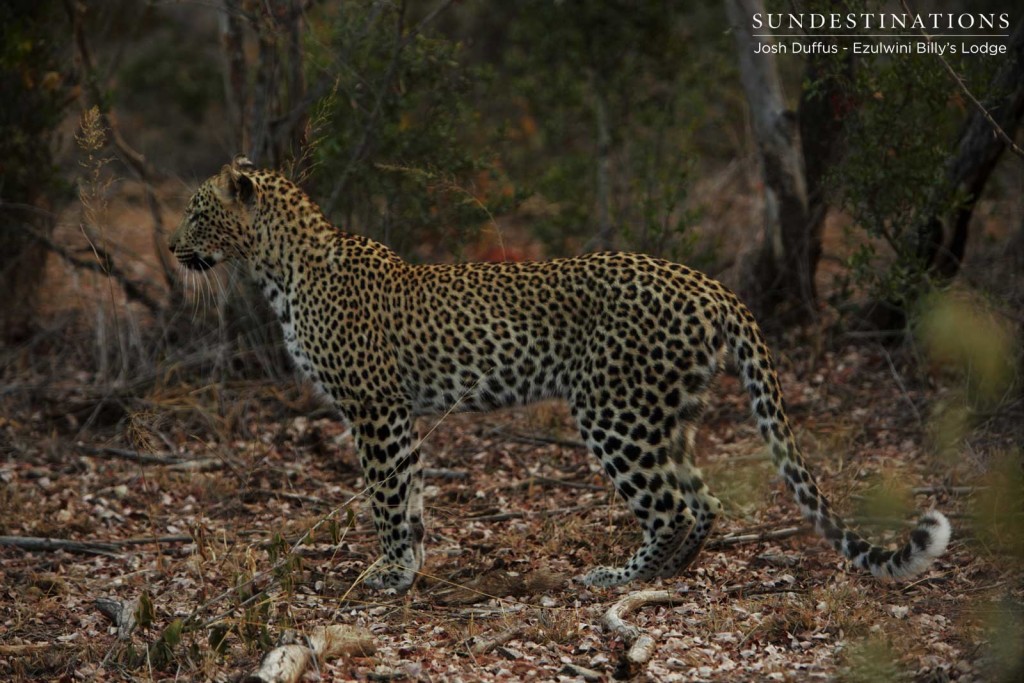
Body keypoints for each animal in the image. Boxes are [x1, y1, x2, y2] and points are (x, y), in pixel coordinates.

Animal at [169, 156, 950, 593]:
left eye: (197, 212)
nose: (173, 249)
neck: (277, 270)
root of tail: (709, 283)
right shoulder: (401, 416)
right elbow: (412, 497)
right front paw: (411, 568)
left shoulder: (375, 410)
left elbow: (388, 498)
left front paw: (389, 572)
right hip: (668, 410)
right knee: (702, 499)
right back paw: (668, 574)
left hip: (614, 410)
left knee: (672, 503)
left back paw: (618, 578)